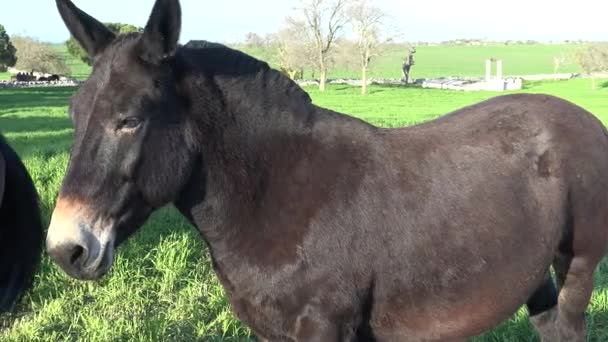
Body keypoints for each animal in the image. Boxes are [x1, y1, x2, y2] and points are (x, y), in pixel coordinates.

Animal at [47, 0, 608, 340]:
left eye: (129, 120)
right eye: (73, 113)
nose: (65, 249)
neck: (275, 194)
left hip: (579, 262)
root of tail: (583, 118)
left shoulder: (323, 325)